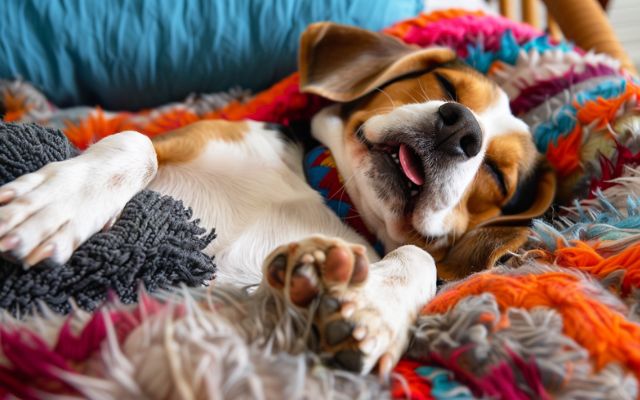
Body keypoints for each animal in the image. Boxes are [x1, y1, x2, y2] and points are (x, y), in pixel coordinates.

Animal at [0, 23, 552, 376]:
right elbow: (136, 144)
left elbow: (420, 256)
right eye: (444, 83)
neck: (330, 194)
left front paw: (370, 311)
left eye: (497, 174)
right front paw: (53, 204)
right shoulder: (181, 140)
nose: (462, 130)